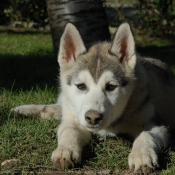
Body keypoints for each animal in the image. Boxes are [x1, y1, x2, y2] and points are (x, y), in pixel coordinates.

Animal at [11, 22, 175, 174]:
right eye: (81, 86)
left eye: (111, 86)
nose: (93, 118)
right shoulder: (74, 121)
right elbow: (69, 130)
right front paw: (65, 150)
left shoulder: (155, 124)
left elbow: (146, 135)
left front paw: (142, 155)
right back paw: (31, 109)